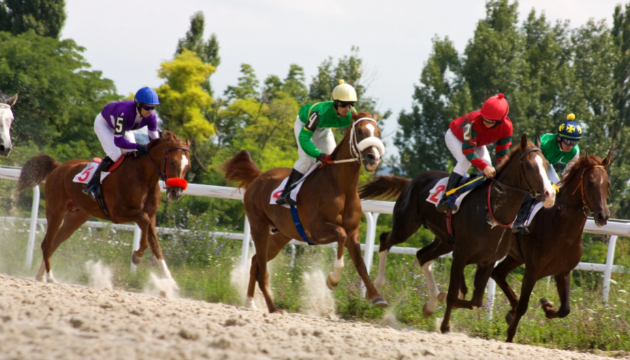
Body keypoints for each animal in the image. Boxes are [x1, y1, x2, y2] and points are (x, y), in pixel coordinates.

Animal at [17, 130, 190, 286]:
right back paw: (50, 277)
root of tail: (58, 167)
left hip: (76, 217)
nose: (176, 192)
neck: (144, 177)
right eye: (172, 162)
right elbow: (144, 221)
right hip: (56, 210)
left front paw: (170, 282)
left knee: (54, 243)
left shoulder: (151, 215)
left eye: (187, 165)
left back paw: (41, 275)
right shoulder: (118, 213)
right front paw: (137, 256)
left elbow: (156, 245)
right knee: (47, 243)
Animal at [222, 111, 390, 314]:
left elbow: (360, 264)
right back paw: (272, 308)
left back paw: (250, 302)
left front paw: (376, 296)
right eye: (359, 131)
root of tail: (258, 177)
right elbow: (340, 235)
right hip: (258, 227)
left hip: (281, 234)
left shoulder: (353, 231)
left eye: (378, 132)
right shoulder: (316, 230)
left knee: (255, 262)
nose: (373, 158)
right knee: (262, 270)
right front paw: (333, 280)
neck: (341, 187)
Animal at [360, 136, 556, 334]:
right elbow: (453, 294)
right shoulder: (461, 255)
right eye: (530, 166)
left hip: (444, 240)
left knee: (422, 255)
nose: (550, 195)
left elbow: (476, 301)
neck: (493, 212)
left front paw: (441, 303)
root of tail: (411, 181)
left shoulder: (488, 261)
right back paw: (377, 292)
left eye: (547, 164)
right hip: (406, 226)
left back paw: (430, 304)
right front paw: (445, 325)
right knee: (385, 241)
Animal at [494, 153, 612, 344]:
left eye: (607, 183)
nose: (603, 216)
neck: (561, 230)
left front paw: (547, 307)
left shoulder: (563, 271)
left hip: (515, 256)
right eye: (590, 183)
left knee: (497, 273)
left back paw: (511, 309)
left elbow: (565, 309)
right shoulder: (532, 271)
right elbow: (524, 306)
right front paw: (510, 335)